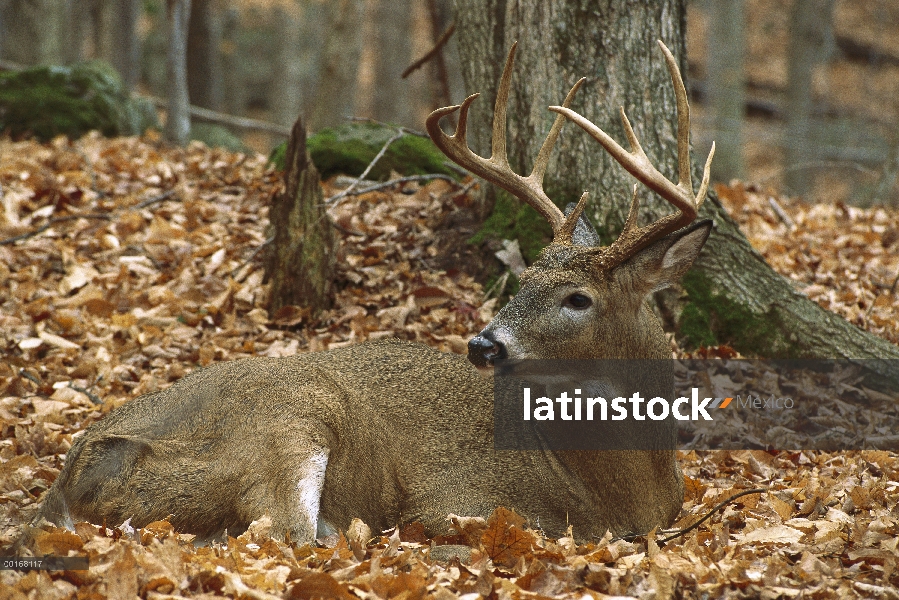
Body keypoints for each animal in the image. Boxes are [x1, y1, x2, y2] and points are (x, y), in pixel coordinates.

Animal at [31, 41, 712, 544]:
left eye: (577, 298)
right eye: (525, 280)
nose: (483, 344)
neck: (619, 494)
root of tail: (74, 470)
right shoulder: (457, 497)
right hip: (290, 418)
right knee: (286, 531)